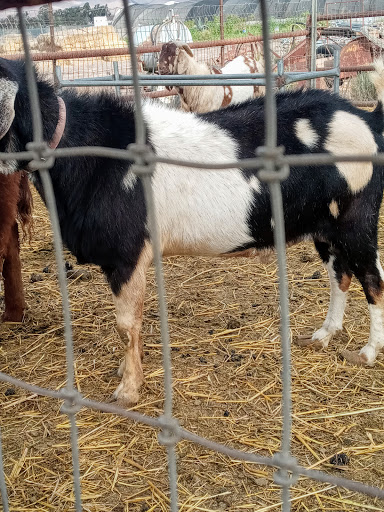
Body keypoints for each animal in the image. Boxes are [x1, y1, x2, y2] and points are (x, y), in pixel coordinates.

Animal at [0, 58, 384, 406]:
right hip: (325, 229)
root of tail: (367, 120)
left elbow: (126, 325)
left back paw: (366, 353)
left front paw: (128, 391)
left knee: (372, 280)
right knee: (340, 276)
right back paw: (322, 336)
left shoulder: (127, 254)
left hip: (357, 222)